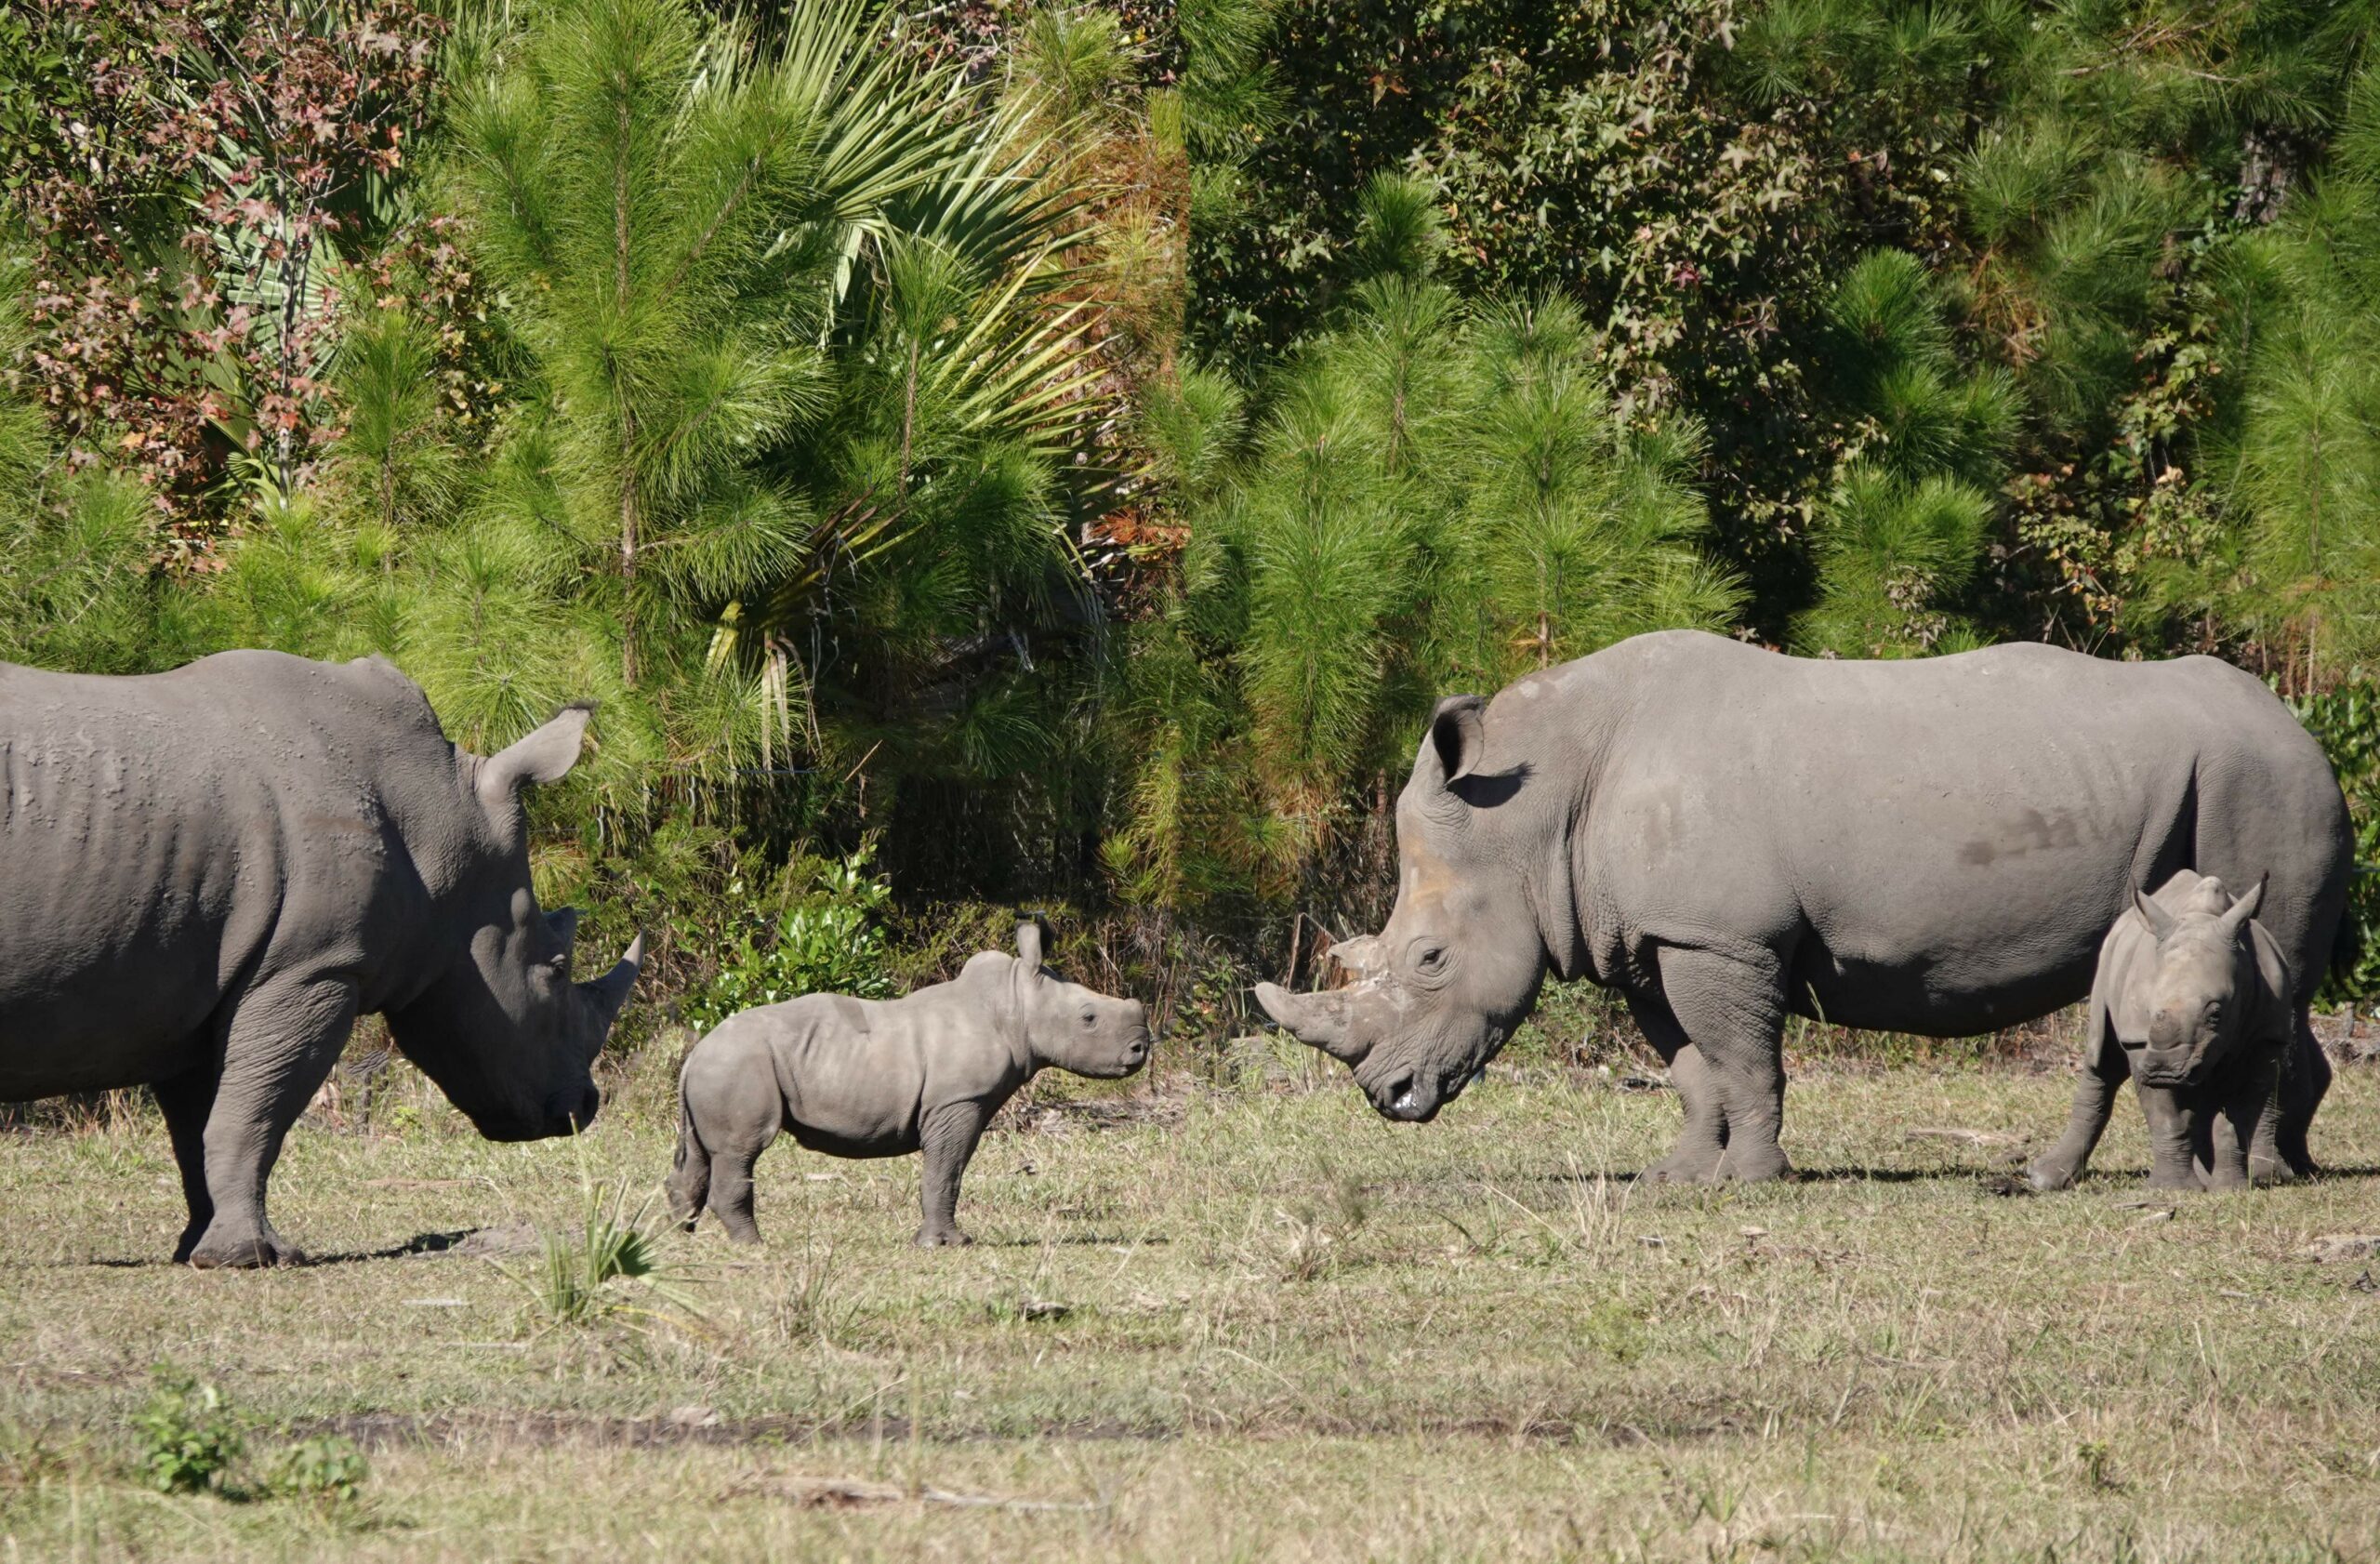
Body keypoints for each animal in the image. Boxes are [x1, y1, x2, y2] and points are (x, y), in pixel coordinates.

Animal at [670, 914, 1152, 1247]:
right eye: (1089, 1019)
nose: (1140, 1048)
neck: (1016, 1003)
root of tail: (695, 1054)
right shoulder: (959, 1100)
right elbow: (946, 1171)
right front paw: (947, 1244)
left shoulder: (961, 1102)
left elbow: (948, 1170)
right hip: (738, 1066)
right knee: (741, 1151)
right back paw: (754, 1246)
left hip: (717, 1071)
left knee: (698, 1155)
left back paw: (676, 1240)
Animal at [2028, 871, 2304, 1190]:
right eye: (2149, 1012)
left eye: (2216, 1014)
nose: (2163, 1070)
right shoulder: (2139, 1039)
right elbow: (2167, 1118)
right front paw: (2174, 1189)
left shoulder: (2264, 1037)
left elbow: (2238, 1114)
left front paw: (2228, 1189)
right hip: (2106, 963)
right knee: (2102, 1062)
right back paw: (2045, 1179)